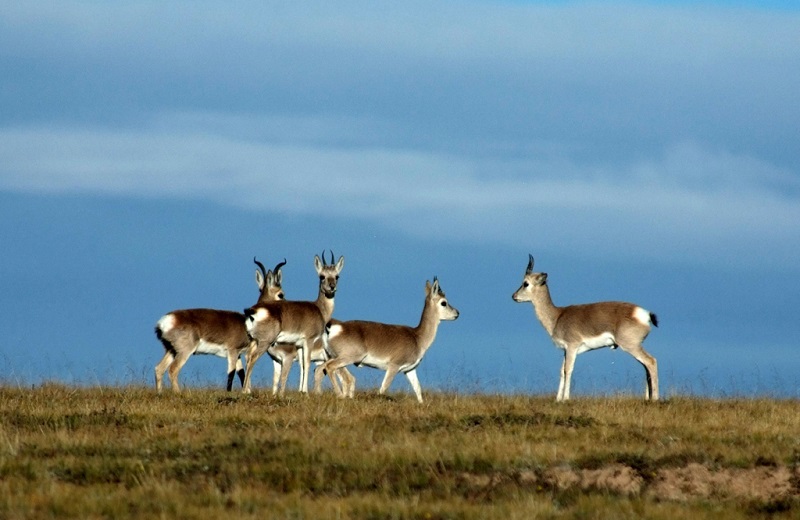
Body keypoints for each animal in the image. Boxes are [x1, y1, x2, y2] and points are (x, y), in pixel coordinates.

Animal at [153, 258, 284, 392]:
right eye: (280, 294)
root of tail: (165, 321)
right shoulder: (232, 351)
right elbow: (231, 374)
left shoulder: (238, 355)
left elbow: (242, 374)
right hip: (185, 351)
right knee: (172, 370)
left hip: (171, 350)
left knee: (159, 369)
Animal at [242, 250, 346, 392]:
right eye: (322, 276)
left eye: (337, 276)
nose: (332, 287)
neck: (318, 308)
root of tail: (253, 310)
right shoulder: (308, 341)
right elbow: (307, 364)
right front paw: (305, 391)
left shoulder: (299, 345)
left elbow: (302, 366)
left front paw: (300, 391)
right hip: (264, 342)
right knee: (252, 358)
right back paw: (244, 391)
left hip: (253, 340)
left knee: (248, 357)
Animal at [316, 276, 460, 402]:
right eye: (444, 302)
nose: (457, 313)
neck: (417, 336)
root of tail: (335, 326)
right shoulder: (393, 367)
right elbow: (383, 389)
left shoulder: (409, 370)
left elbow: (418, 389)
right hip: (347, 358)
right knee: (330, 368)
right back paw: (340, 395)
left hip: (332, 357)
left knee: (320, 369)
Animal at [516, 256, 660, 402]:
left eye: (525, 283)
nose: (513, 296)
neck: (557, 316)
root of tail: (644, 314)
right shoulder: (566, 350)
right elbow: (562, 371)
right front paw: (557, 399)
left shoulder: (572, 346)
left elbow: (568, 370)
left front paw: (565, 399)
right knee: (646, 366)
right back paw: (647, 398)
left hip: (630, 346)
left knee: (651, 362)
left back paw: (655, 398)